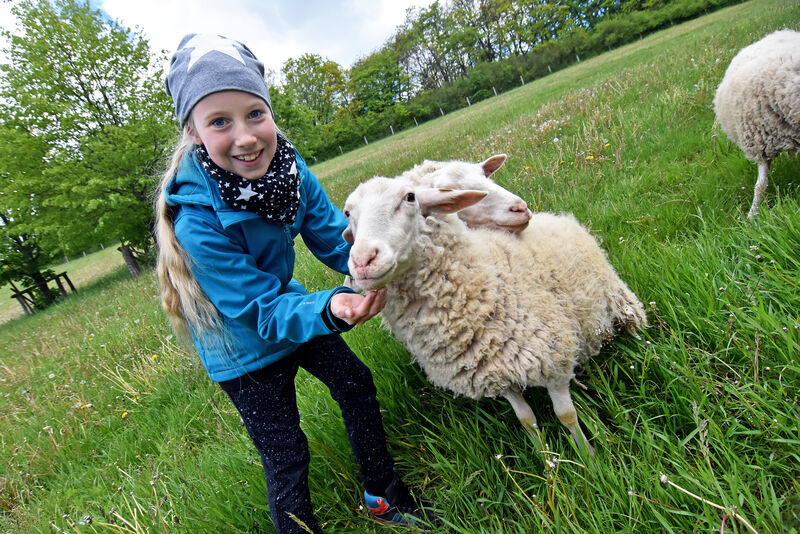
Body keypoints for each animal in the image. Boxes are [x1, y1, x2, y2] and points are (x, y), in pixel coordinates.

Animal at [342, 178, 647, 456]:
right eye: (347, 213)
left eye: (409, 197)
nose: (363, 260)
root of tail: (556, 216)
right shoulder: (494, 371)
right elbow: (526, 420)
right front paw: (546, 460)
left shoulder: (554, 358)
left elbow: (566, 416)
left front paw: (589, 461)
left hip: (619, 301)